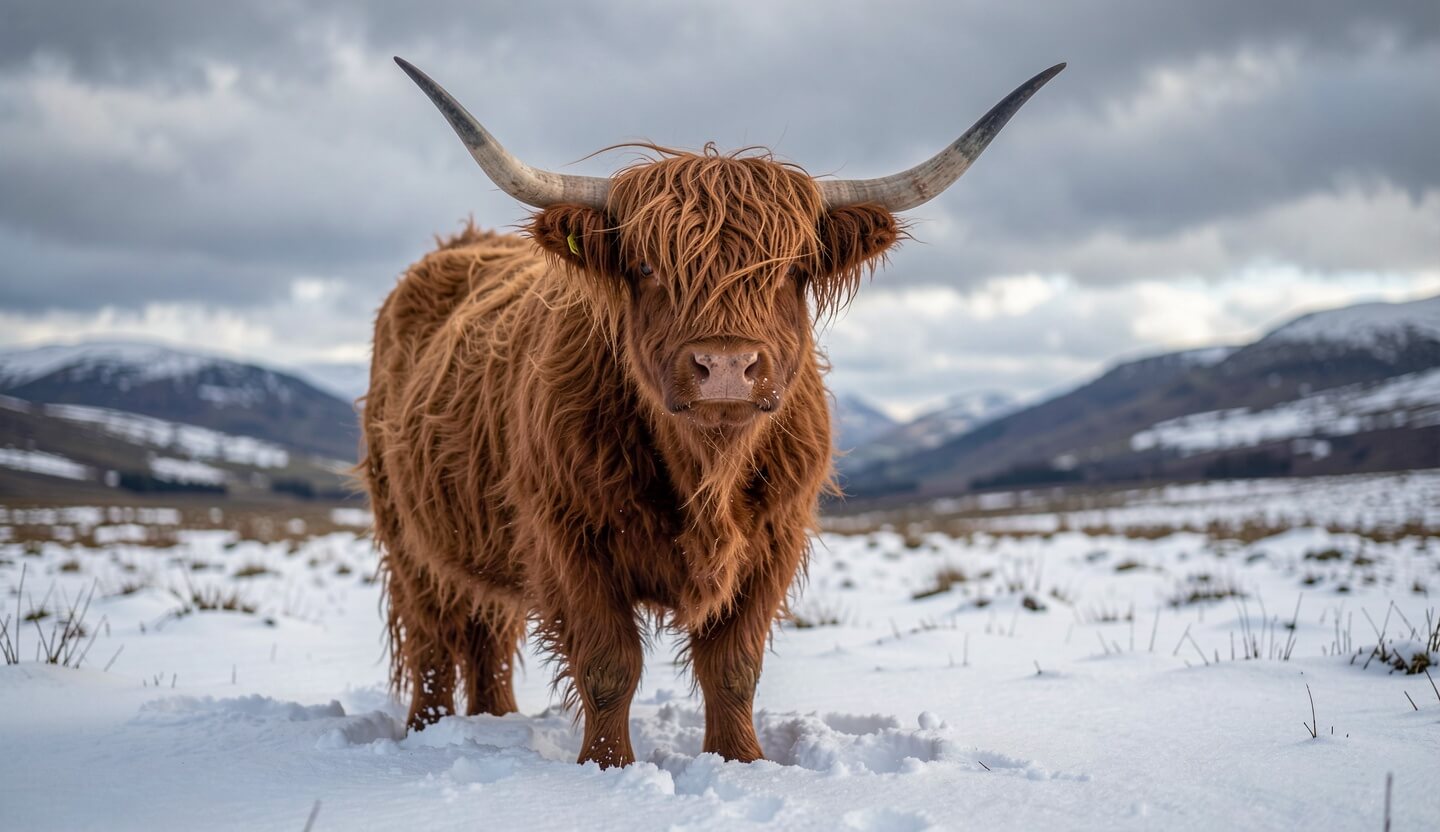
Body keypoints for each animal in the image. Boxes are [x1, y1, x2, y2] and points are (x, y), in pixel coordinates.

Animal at [361, 56, 1063, 768]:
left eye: (791, 269)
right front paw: (608, 766)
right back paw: (427, 730)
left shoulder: (774, 539)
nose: (725, 366)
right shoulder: (568, 535)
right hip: (407, 534)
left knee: (488, 637)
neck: (706, 470)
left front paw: (742, 761)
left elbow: (734, 665)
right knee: (430, 638)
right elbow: (609, 664)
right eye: (647, 265)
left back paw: (494, 717)